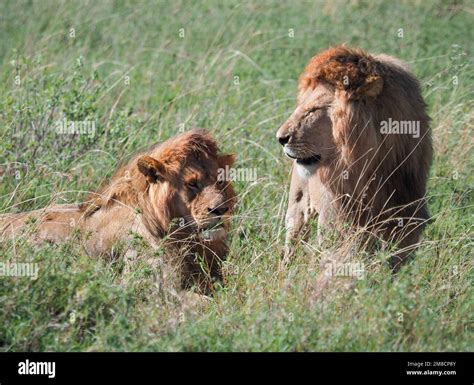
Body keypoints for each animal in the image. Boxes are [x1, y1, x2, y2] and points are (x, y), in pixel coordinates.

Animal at [278, 46, 434, 272]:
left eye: (314, 110)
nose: (280, 139)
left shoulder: (406, 219)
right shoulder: (336, 218)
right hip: (297, 206)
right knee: (291, 243)